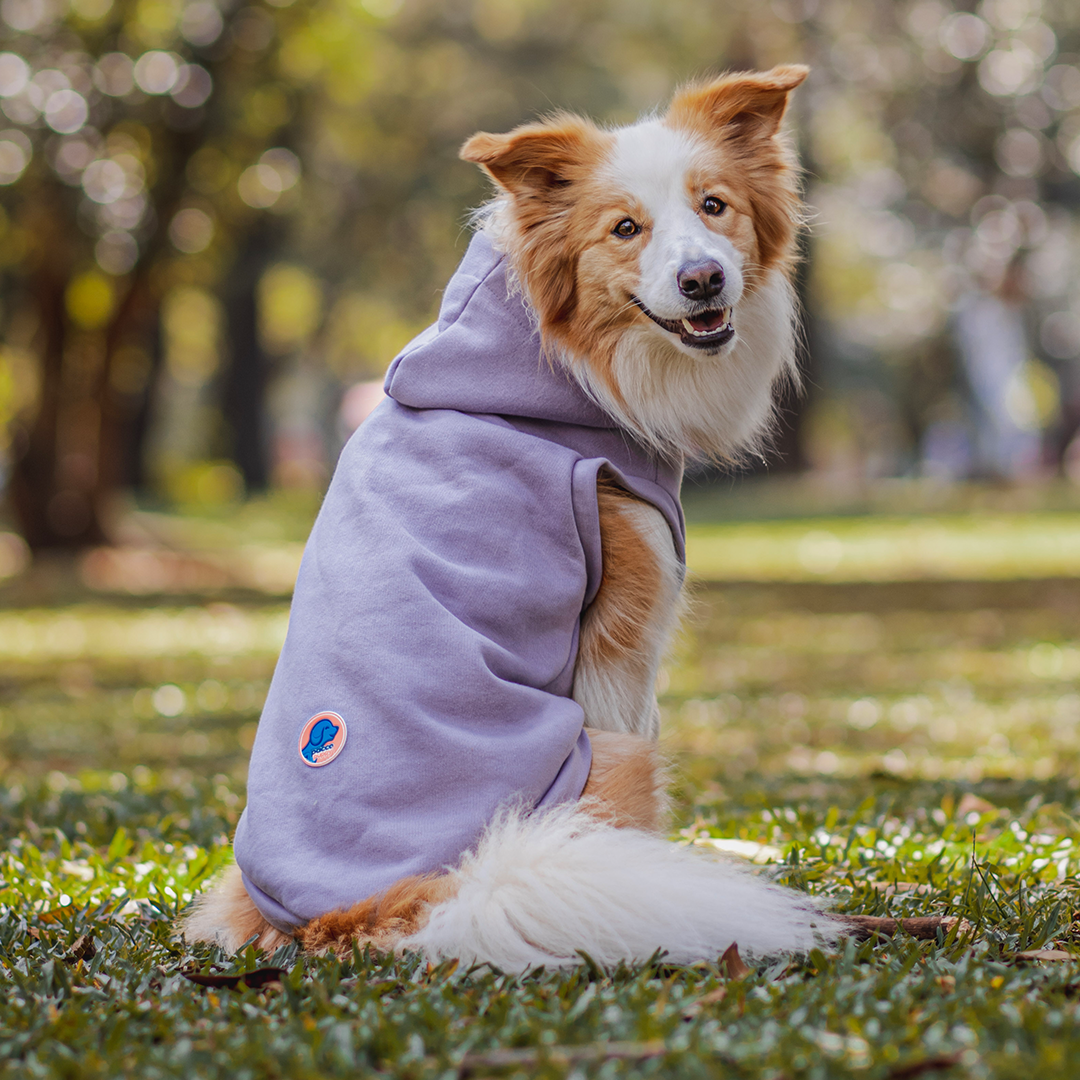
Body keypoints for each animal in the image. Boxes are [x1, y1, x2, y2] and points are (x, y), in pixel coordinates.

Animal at [183, 63, 859, 967]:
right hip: (617, 758)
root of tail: (356, 912)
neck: (564, 367)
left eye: (715, 206)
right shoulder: (623, 632)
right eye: (625, 229)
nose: (703, 281)